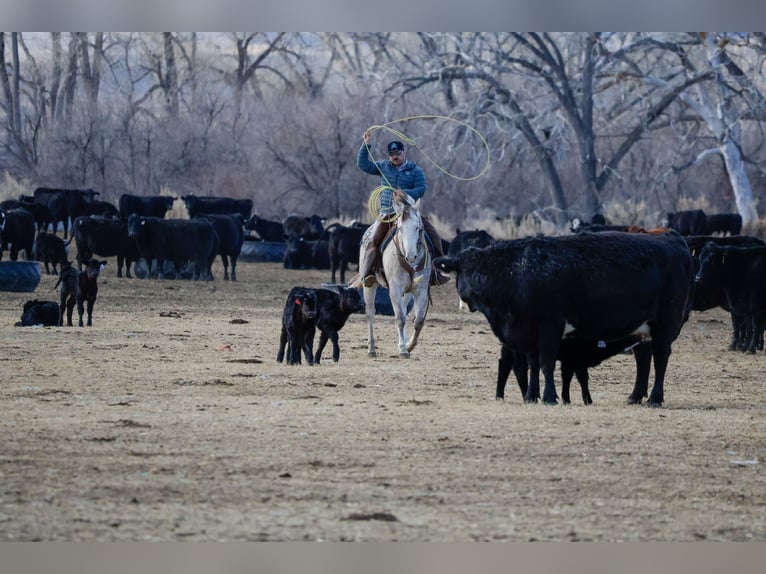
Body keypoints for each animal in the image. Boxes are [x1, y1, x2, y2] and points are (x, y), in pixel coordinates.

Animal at [364, 193, 431, 358]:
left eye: (417, 227)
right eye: (399, 228)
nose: (411, 257)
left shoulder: (420, 290)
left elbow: (418, 321)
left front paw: (409, 345)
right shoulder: (395, 289)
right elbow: (399, 318)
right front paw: (402, 349)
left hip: (408, 292)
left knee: (405, 310)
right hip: (370, 286)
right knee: (370, 313)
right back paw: (371, 348)